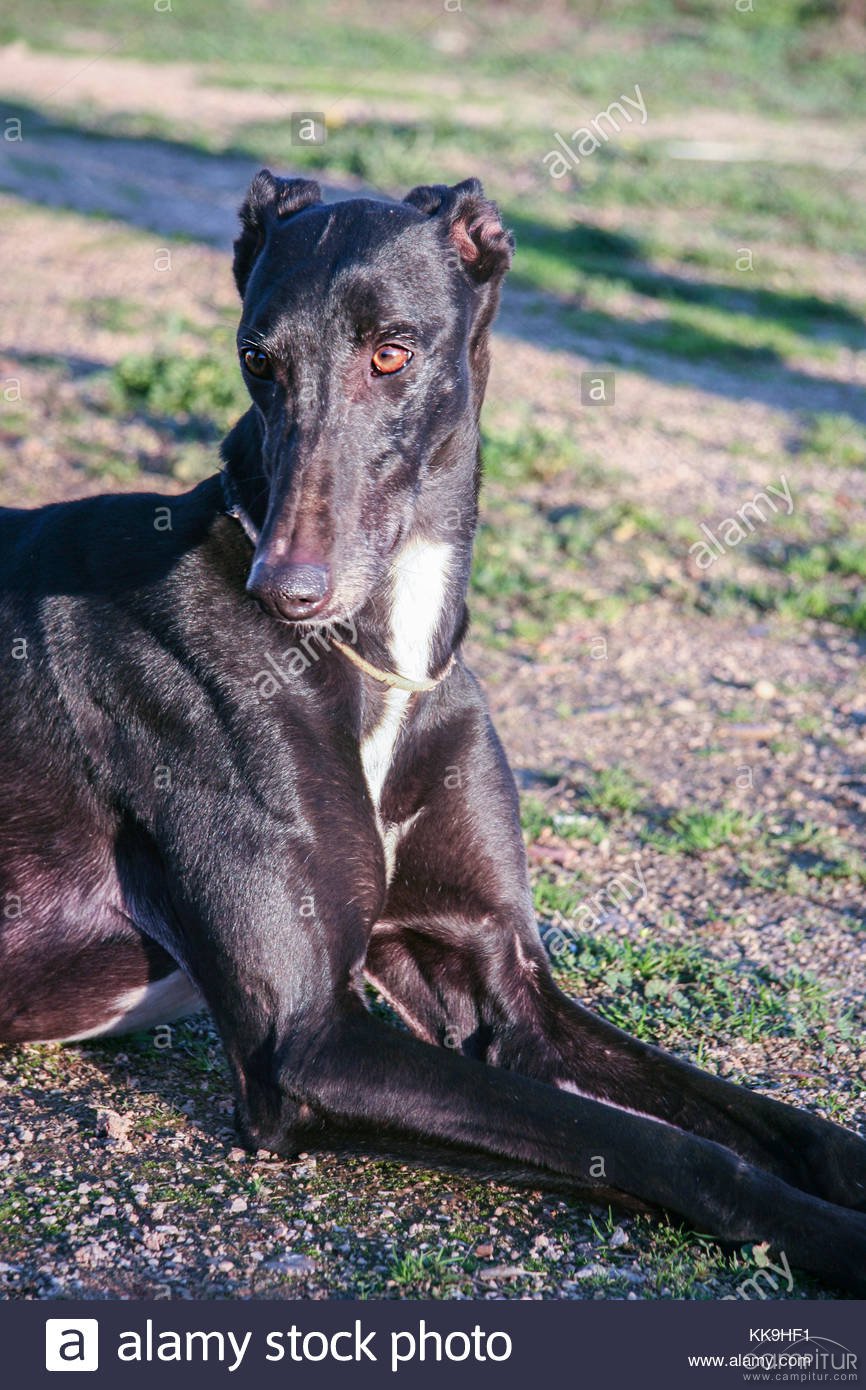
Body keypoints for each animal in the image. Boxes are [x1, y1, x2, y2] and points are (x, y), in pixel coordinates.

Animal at [1, 172, 864, 1292]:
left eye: (391, 352)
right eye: (257, 359)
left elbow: (762, 1119)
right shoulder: (308, 1044)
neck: (379, 657)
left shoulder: (494, 979)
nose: (284, 590)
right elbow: (677, 1150)